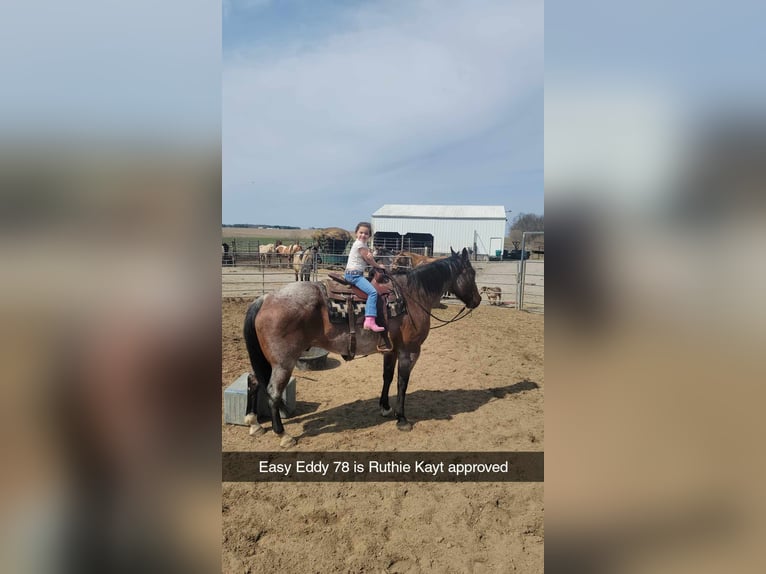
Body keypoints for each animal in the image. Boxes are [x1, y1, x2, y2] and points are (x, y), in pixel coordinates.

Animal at [243, 245, 484, 448]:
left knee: (254, 380)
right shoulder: (410, 351)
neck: (412, 296)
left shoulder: (391, 350)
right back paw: (283, 434)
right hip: (284, 363)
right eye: (471, 274)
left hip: (269, 361)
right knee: (273, 392)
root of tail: (266, 298)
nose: (478, 301)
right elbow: (402, 383)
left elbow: (387, 377)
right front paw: (402, 419)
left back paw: (254, 422)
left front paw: (385, 407)